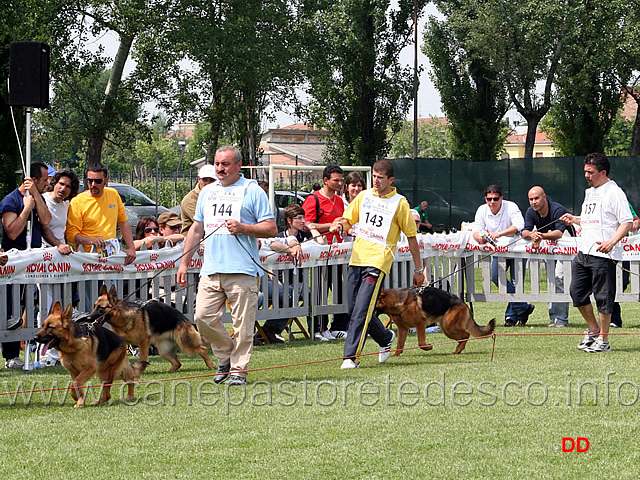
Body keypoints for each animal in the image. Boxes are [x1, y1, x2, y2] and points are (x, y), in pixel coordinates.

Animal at [87, 284, 215, 376]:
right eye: (94, 306)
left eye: (100, 308)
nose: (88, 318)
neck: (122, 317)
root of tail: (184, 318)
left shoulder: (143, 342)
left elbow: (142, 358)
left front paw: (140, 371)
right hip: (164, 350)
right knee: (178, 363)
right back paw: (168, 371)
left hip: (185, 345)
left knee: (202, 350)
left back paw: (211, 364)